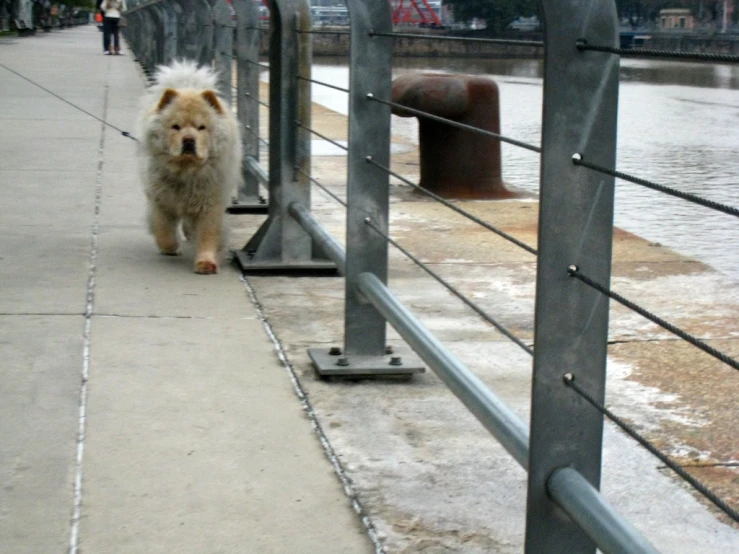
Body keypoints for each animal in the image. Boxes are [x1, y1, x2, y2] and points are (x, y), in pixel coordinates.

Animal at [137, 60, 244, 274]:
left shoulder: (209, 204)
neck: (187, 172)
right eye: (175, 127)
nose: (188, 140)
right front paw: (171, 248)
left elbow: (207, 235)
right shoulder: (161, 201)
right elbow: (164, 231)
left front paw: (206, 263)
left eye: (201, 127)